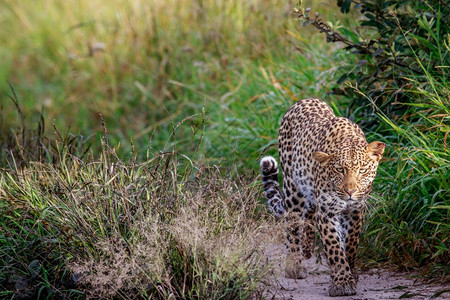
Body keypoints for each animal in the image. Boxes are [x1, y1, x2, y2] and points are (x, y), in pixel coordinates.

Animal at [262, 99, 384, 298]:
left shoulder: (355, 211)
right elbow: (334, 246)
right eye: (340, 170)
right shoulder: (327, 212)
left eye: (362, 170)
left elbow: (350, 245)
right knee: (293, 225)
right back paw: (294, 266)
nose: (350, 191)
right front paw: (342, 282)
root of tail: (304, 100)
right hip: (293, 187)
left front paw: (350, 274)